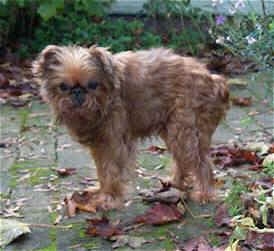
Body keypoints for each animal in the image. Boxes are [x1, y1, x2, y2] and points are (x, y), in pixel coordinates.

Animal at [32, 45, 229, 210]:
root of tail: (213, 80)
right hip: (173, 131)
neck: (106, 101)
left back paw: (204, 194)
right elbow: (102, 171)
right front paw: (100, 190)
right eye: (63, 86)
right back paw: (176, 183)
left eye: (93, 85)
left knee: (201, 162)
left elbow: (111, 171)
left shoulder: (113, 144)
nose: (78, 92)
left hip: (184, 132)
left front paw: (109, 199)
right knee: (184, 160)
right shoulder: (100, 145)